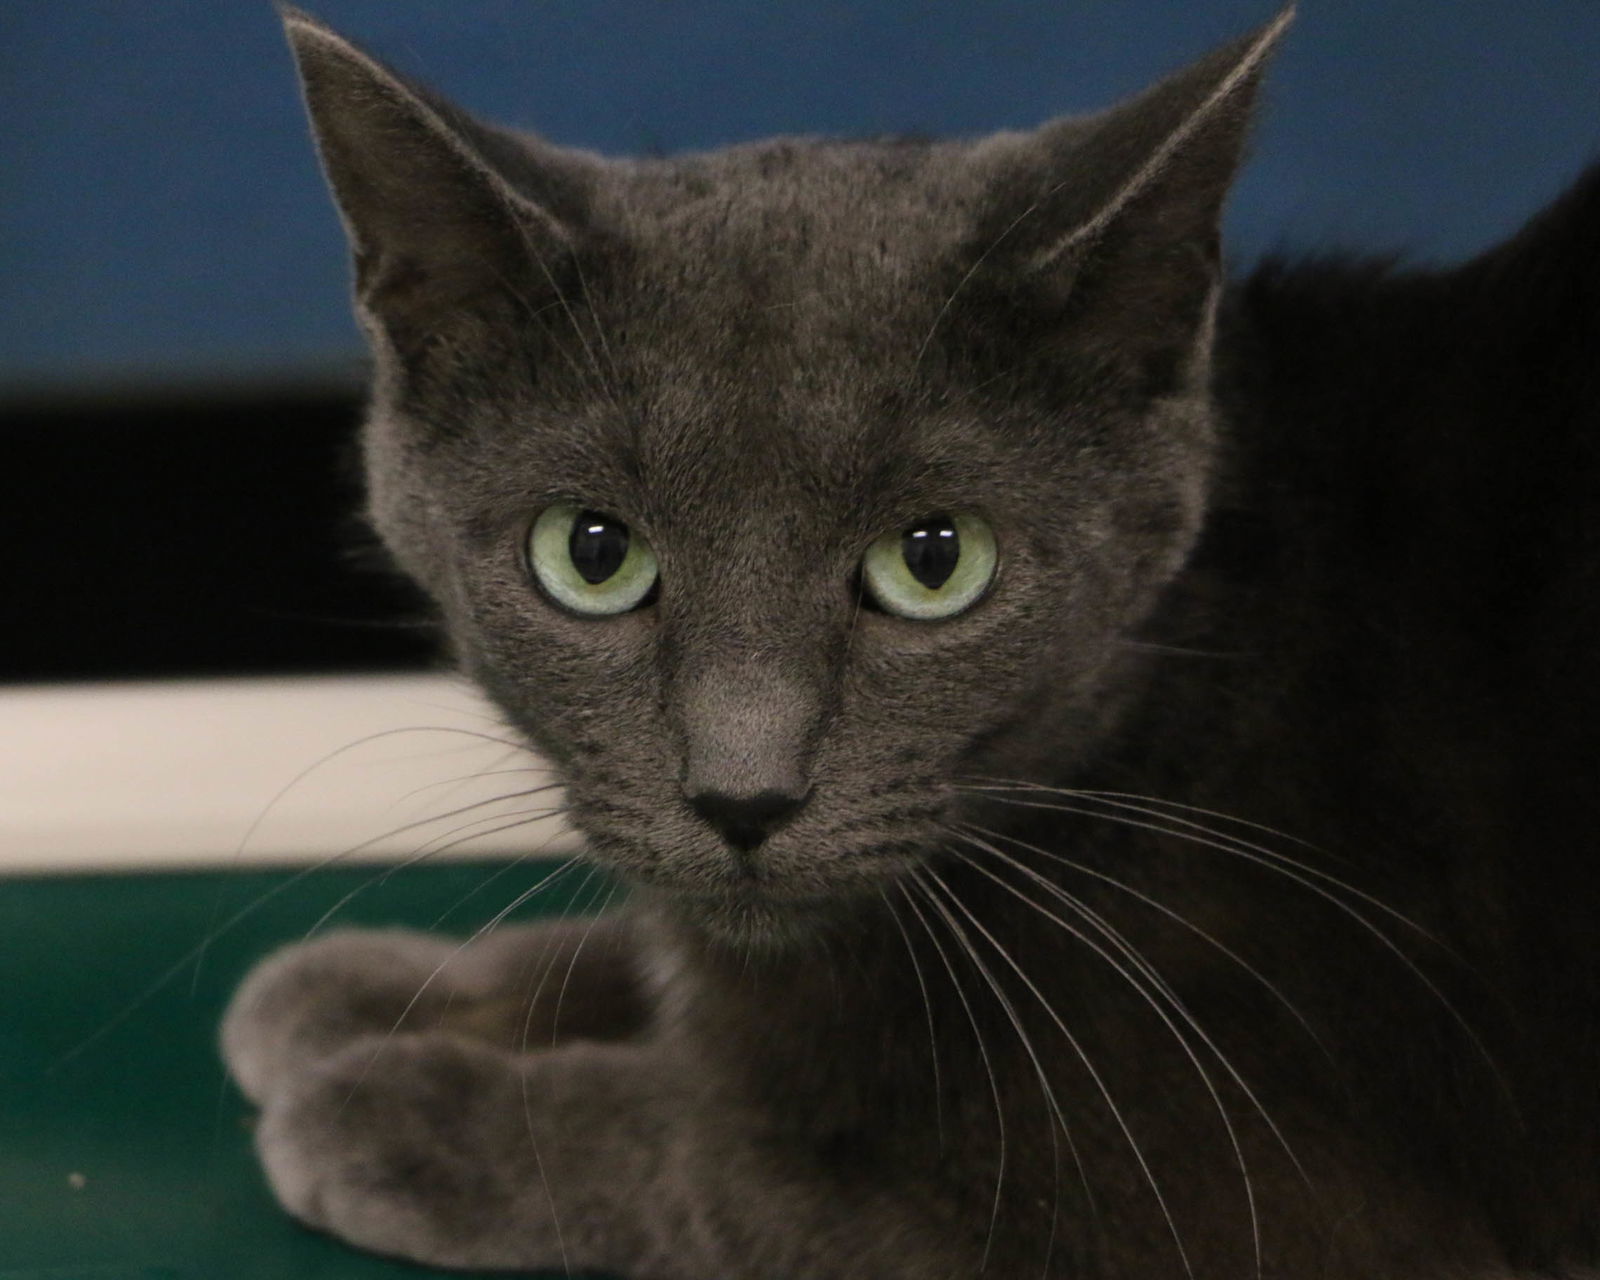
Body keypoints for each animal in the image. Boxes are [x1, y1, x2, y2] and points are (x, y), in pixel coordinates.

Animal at [222, 10, 1600, 1280]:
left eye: (935, 560)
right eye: (592, 552)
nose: (743, 793)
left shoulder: (1244, 1206)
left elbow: (716, 1164)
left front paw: (401, 1104)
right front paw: (373, 987)